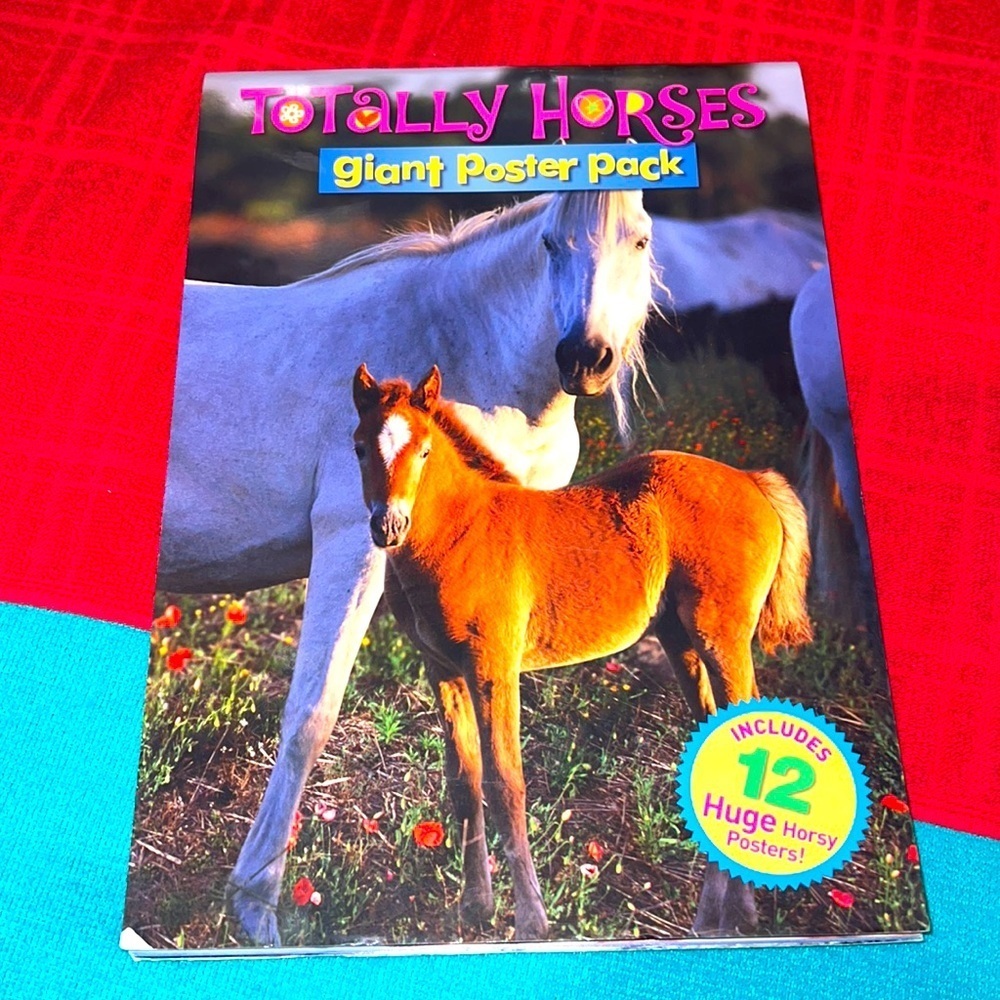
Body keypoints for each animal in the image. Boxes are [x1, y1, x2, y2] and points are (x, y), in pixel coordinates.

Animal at [157, 190, 656, 946]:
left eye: (642, 240)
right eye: (550, 243)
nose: (586, 358)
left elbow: (471, 756)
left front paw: (482, 909)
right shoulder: (353, 544)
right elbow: (311, 715)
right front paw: (256, 906)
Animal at [351, 364, 814, 941]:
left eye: (425, 450)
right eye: (359, 447)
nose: (387, 526)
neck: (460, 533)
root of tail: (752, 480)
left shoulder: (492, 669)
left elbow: (506, 784)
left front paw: (531, 921)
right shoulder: (443, 671)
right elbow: (464, 783)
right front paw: (475, 908)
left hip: (721, 638)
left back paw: (742, 911)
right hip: (681, 640)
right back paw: (714, 914)